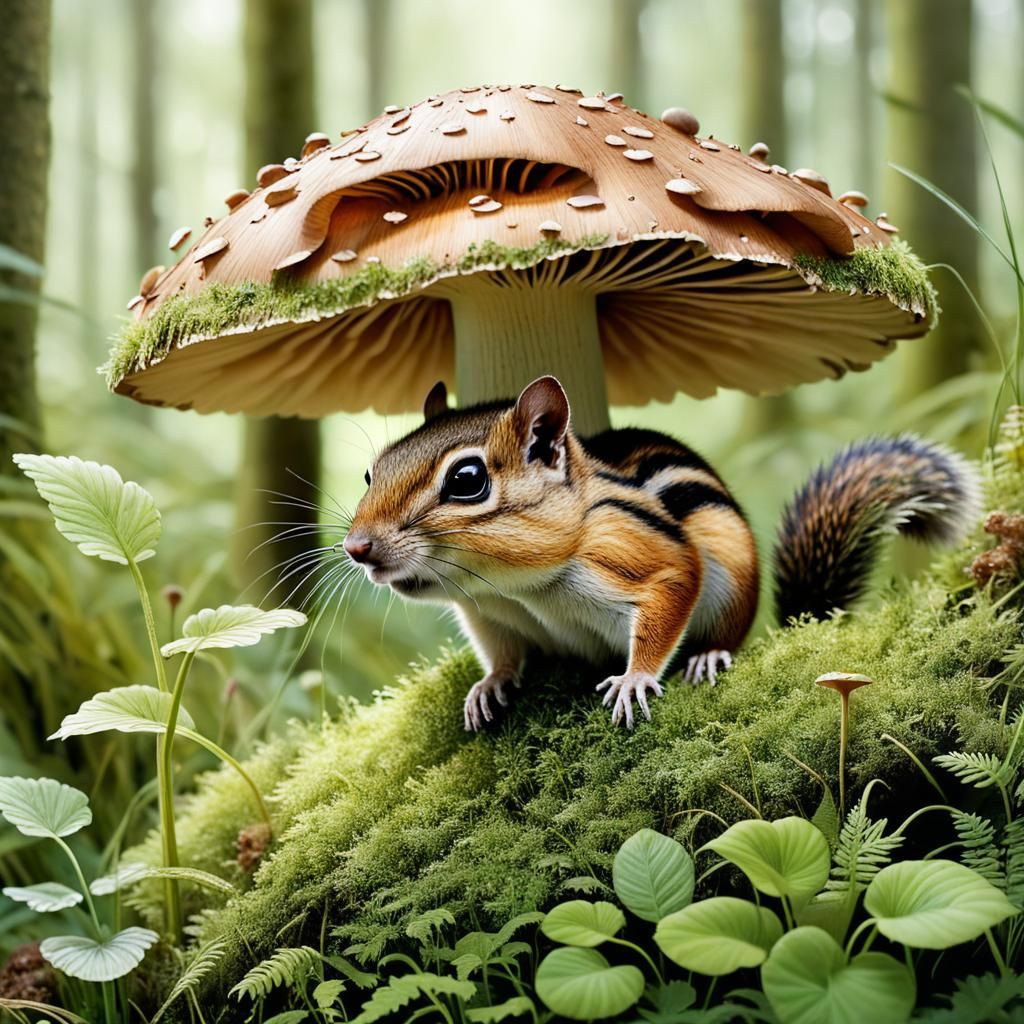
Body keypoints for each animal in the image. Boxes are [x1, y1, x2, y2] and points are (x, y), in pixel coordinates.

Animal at [343, 376, 979, 731]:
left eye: (467, 479)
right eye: (372, 472)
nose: (356, 547)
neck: (515, 586)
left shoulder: (642, 554)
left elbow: (674, 586)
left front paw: (634, 679)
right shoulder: (487, 613)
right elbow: (500, 654)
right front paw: (489, 686)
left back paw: (709, 656)